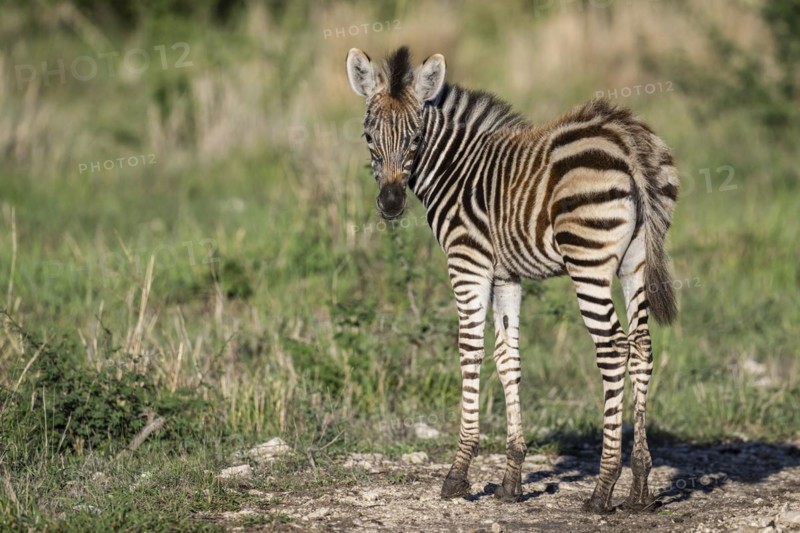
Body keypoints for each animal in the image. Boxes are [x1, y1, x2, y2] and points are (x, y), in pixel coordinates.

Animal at [345, 46, 678, 513]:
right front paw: (511, 480)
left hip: (588, 261)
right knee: (643, 347)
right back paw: (640, 488)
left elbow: (470, 352)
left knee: (614, 348)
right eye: (369, 137)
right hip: (636, 261)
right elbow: (508, 359)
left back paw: (602, 489)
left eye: (415, 139)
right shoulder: (507, 277)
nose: (391, 204)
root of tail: (625, 138)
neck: (455, 168)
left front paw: (458, 474)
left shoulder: (468, 264)